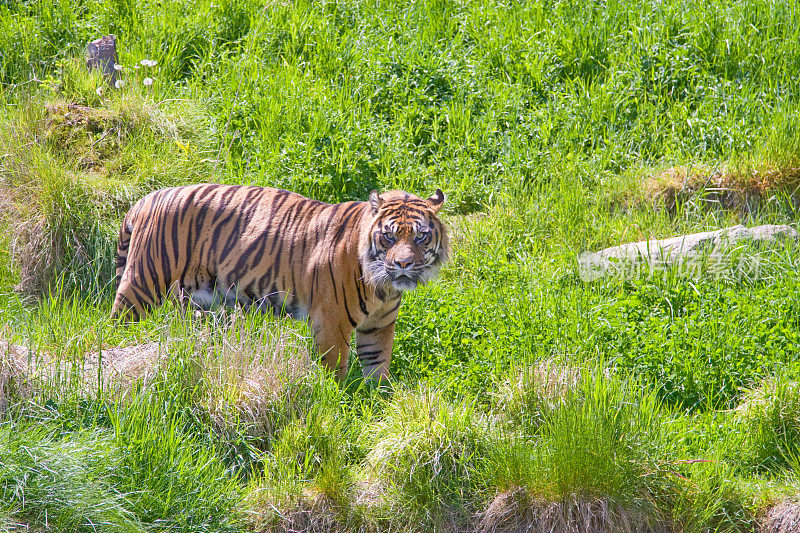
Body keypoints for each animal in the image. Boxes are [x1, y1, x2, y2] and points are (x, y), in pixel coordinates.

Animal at [110, 184, 450, 382]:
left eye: (421, 236)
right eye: (389, 236)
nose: (403, 264)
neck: (384, 287)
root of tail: (147, 198)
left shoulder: (378, 326)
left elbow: (378, 366)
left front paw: (376, 402)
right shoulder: (332, 322)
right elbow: (334, 369)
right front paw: (334, 403)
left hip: (195, 299)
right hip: (144, 282)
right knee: (116, 321)